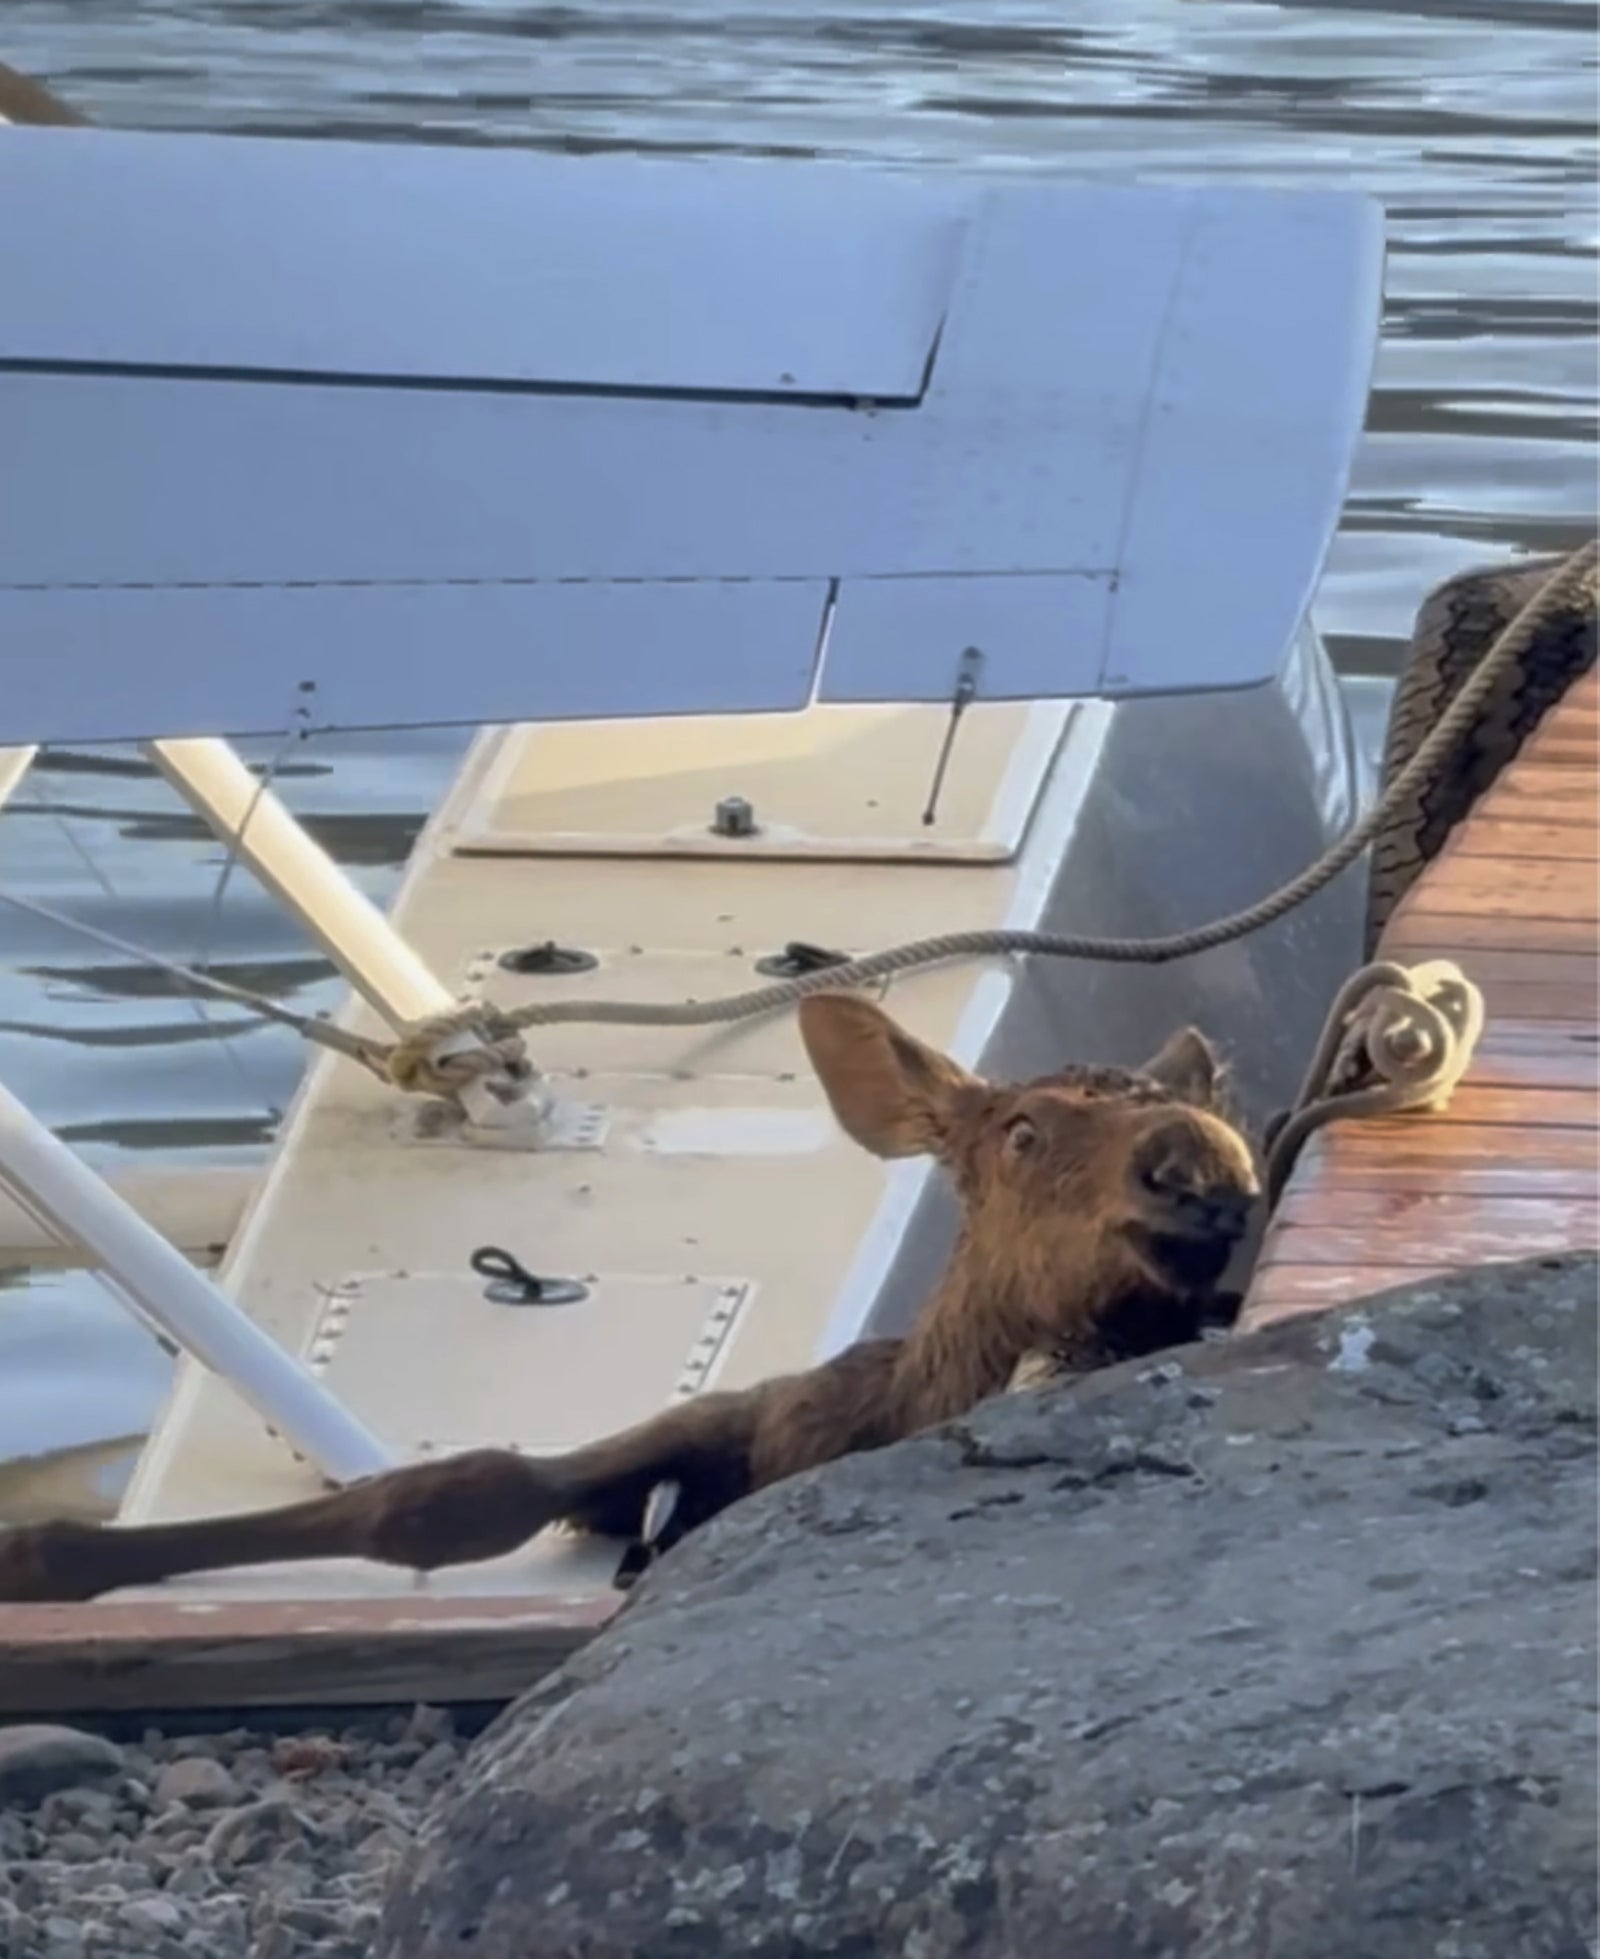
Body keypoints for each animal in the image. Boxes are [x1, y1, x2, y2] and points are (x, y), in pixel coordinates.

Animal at [0, 992, 1261, 1605]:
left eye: (1210, 1112)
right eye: (1021, 1130)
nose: (1196, 1161)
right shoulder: (740, 1416)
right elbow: (456, 1489)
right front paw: (47, 1553)